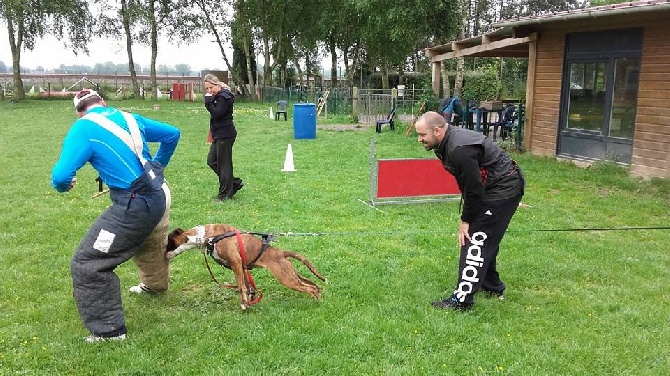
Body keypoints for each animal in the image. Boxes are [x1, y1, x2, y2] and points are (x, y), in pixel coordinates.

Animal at [167, 223, 326, 308]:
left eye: (168, 242)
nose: (164, 254)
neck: (208, 236)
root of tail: (281, 253)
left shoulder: (236, 263)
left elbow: (240, 286)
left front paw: (244, 304)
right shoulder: (242, 267)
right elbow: (247, 285)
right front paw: (250, 299)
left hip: (287, 279)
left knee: (311, 288)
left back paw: (317, 302)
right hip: (292, 275)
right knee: (313, 285)